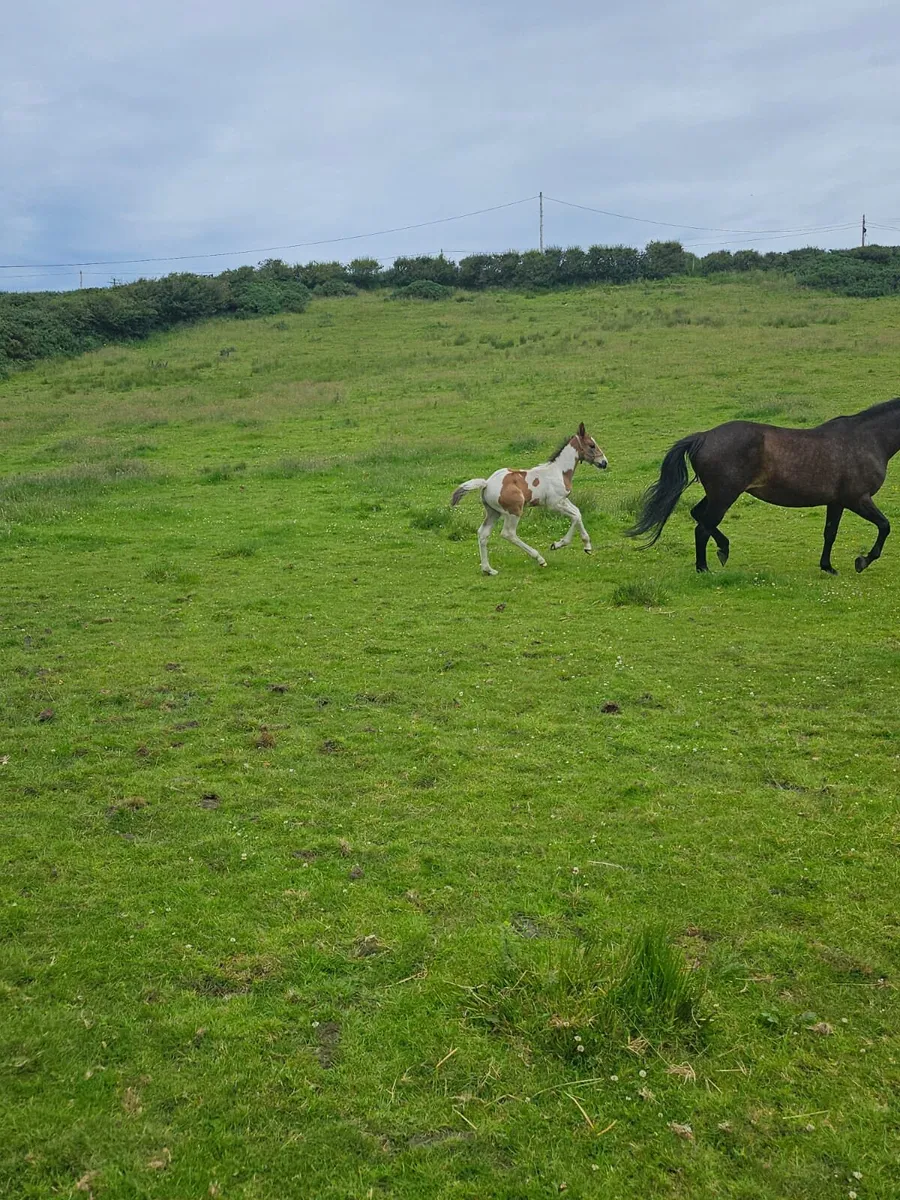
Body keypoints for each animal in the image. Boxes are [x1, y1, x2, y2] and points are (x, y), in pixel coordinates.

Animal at [450, 423, 608, 575]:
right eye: (591, 445)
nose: (604, 462)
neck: (559, 471)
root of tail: (486, 484)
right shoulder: (554, 504)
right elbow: (575, 517)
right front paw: (557, 544)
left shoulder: (563, 500)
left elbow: (578, 513)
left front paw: (587, 546)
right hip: (514, 511)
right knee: (508, 533)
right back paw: (540, 559)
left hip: (494, 512)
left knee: (483, 534)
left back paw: (488, 569)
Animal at [628, 398, 900, 574]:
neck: (868, 439)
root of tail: (703, 437)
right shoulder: (858, 498)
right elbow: (885, 526)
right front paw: (862, 561)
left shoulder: (837, 501)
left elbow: (830, 533)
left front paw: (827, 567)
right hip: (724, 495)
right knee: (703, 528)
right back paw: (705, 567)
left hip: (717, 494)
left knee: (699, 517)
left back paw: (721, 550)